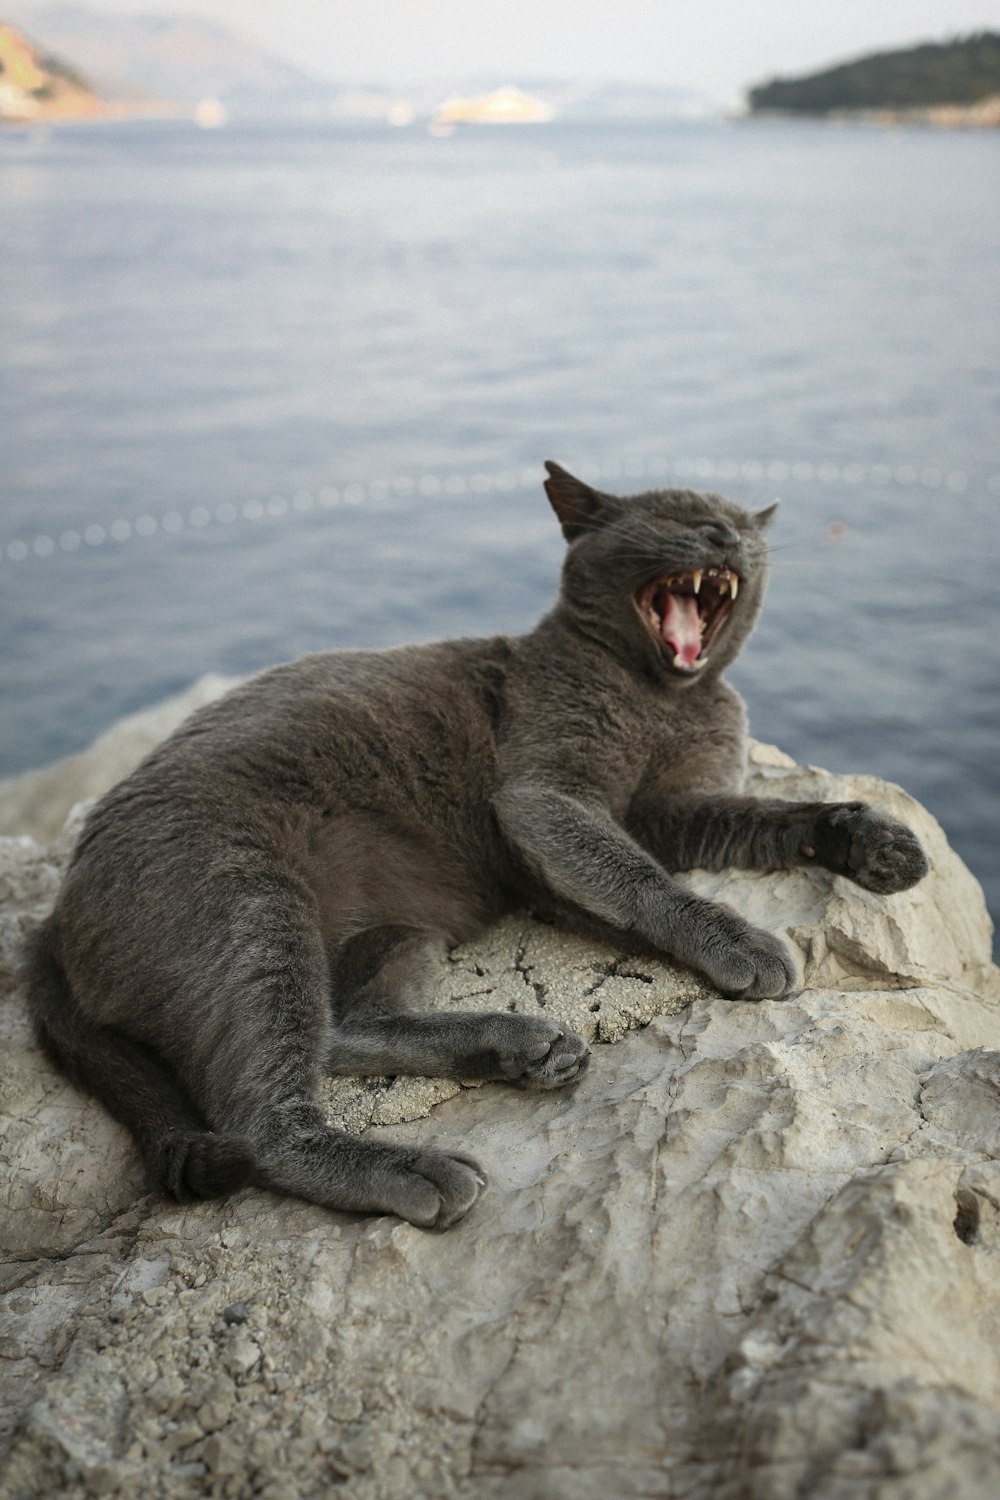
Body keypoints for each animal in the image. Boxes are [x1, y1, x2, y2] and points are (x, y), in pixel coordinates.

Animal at [25, 462, 929, 1224]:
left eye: (742, 524)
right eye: (676, 518)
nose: (725, 536)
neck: (664, 697)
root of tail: (52, 918)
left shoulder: (672, 809)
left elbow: (764, 818)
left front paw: (873, 843)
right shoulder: (547, 799)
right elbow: (637, 879)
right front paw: (742, 941)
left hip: (393, 930)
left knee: (342, 1026)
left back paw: (522, 1047)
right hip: (247, 904)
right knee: (260, 1119)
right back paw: (414, 1167)